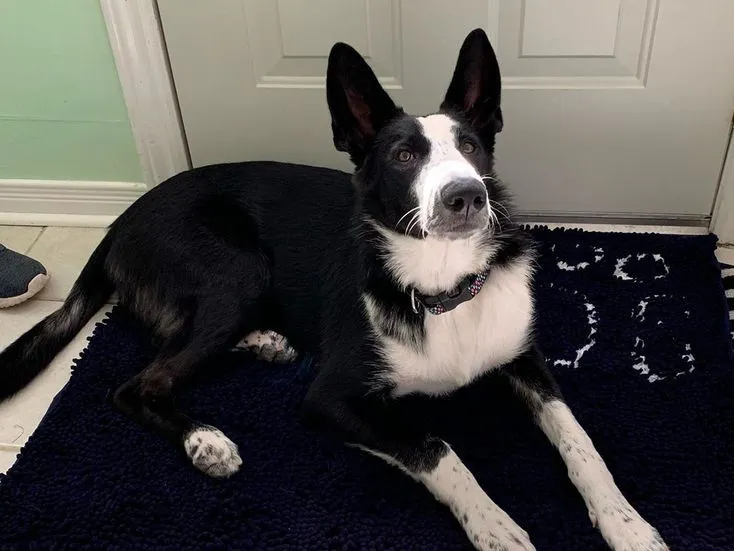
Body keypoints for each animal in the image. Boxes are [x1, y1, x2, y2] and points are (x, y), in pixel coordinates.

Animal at [0, 30, 668, 551]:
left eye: (472, 147)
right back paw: (204, 440)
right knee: (137, 384)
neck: (443, 286)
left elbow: (580, 441)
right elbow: (434, 445)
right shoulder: (329, 399)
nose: (467, 196)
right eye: (403, 156)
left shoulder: (524, 359)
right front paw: (492, 522)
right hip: (238, 269)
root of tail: (120, 219)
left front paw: (626, 522)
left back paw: (264, 342)